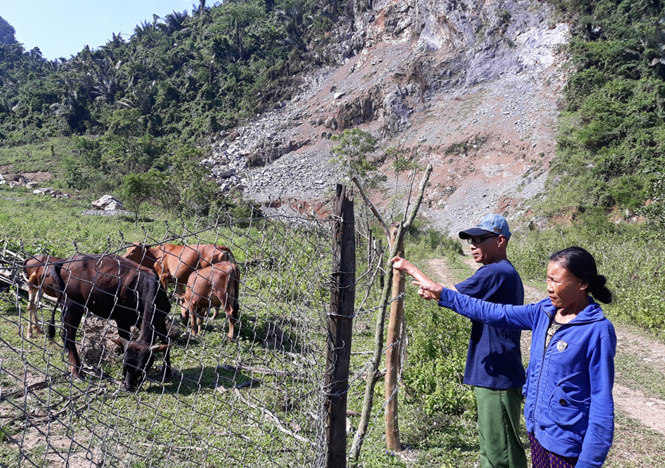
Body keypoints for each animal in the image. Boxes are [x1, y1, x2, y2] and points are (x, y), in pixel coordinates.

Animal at [27, 252, 172, 392]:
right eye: (125, 365)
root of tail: (65, 260)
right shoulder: (122, 320)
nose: (129, 386)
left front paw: (167, 373)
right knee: (68, 336)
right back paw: (77, 372)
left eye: (142, 367)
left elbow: (166, 342)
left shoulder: (161, 319)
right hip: (72, 306)